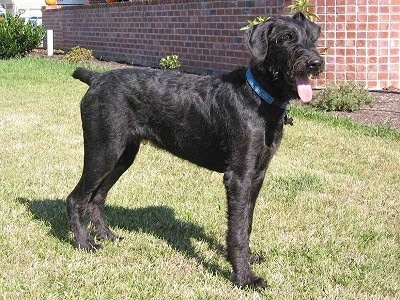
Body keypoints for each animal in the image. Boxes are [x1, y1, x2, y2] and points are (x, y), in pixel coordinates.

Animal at [67, 12, 324, 288]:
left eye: (312, 38)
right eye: (285, 38)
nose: (315, 63)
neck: (258, 97)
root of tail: (97, 78)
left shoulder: (257, 175)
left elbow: (247, 223)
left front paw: (249, 258)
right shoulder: (239, 177)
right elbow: (237, 230)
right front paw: (244, 277)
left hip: (122, 156)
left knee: (97, 197)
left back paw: (107, 235)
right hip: (103, 151)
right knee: (76, 198)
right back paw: (84, 243)